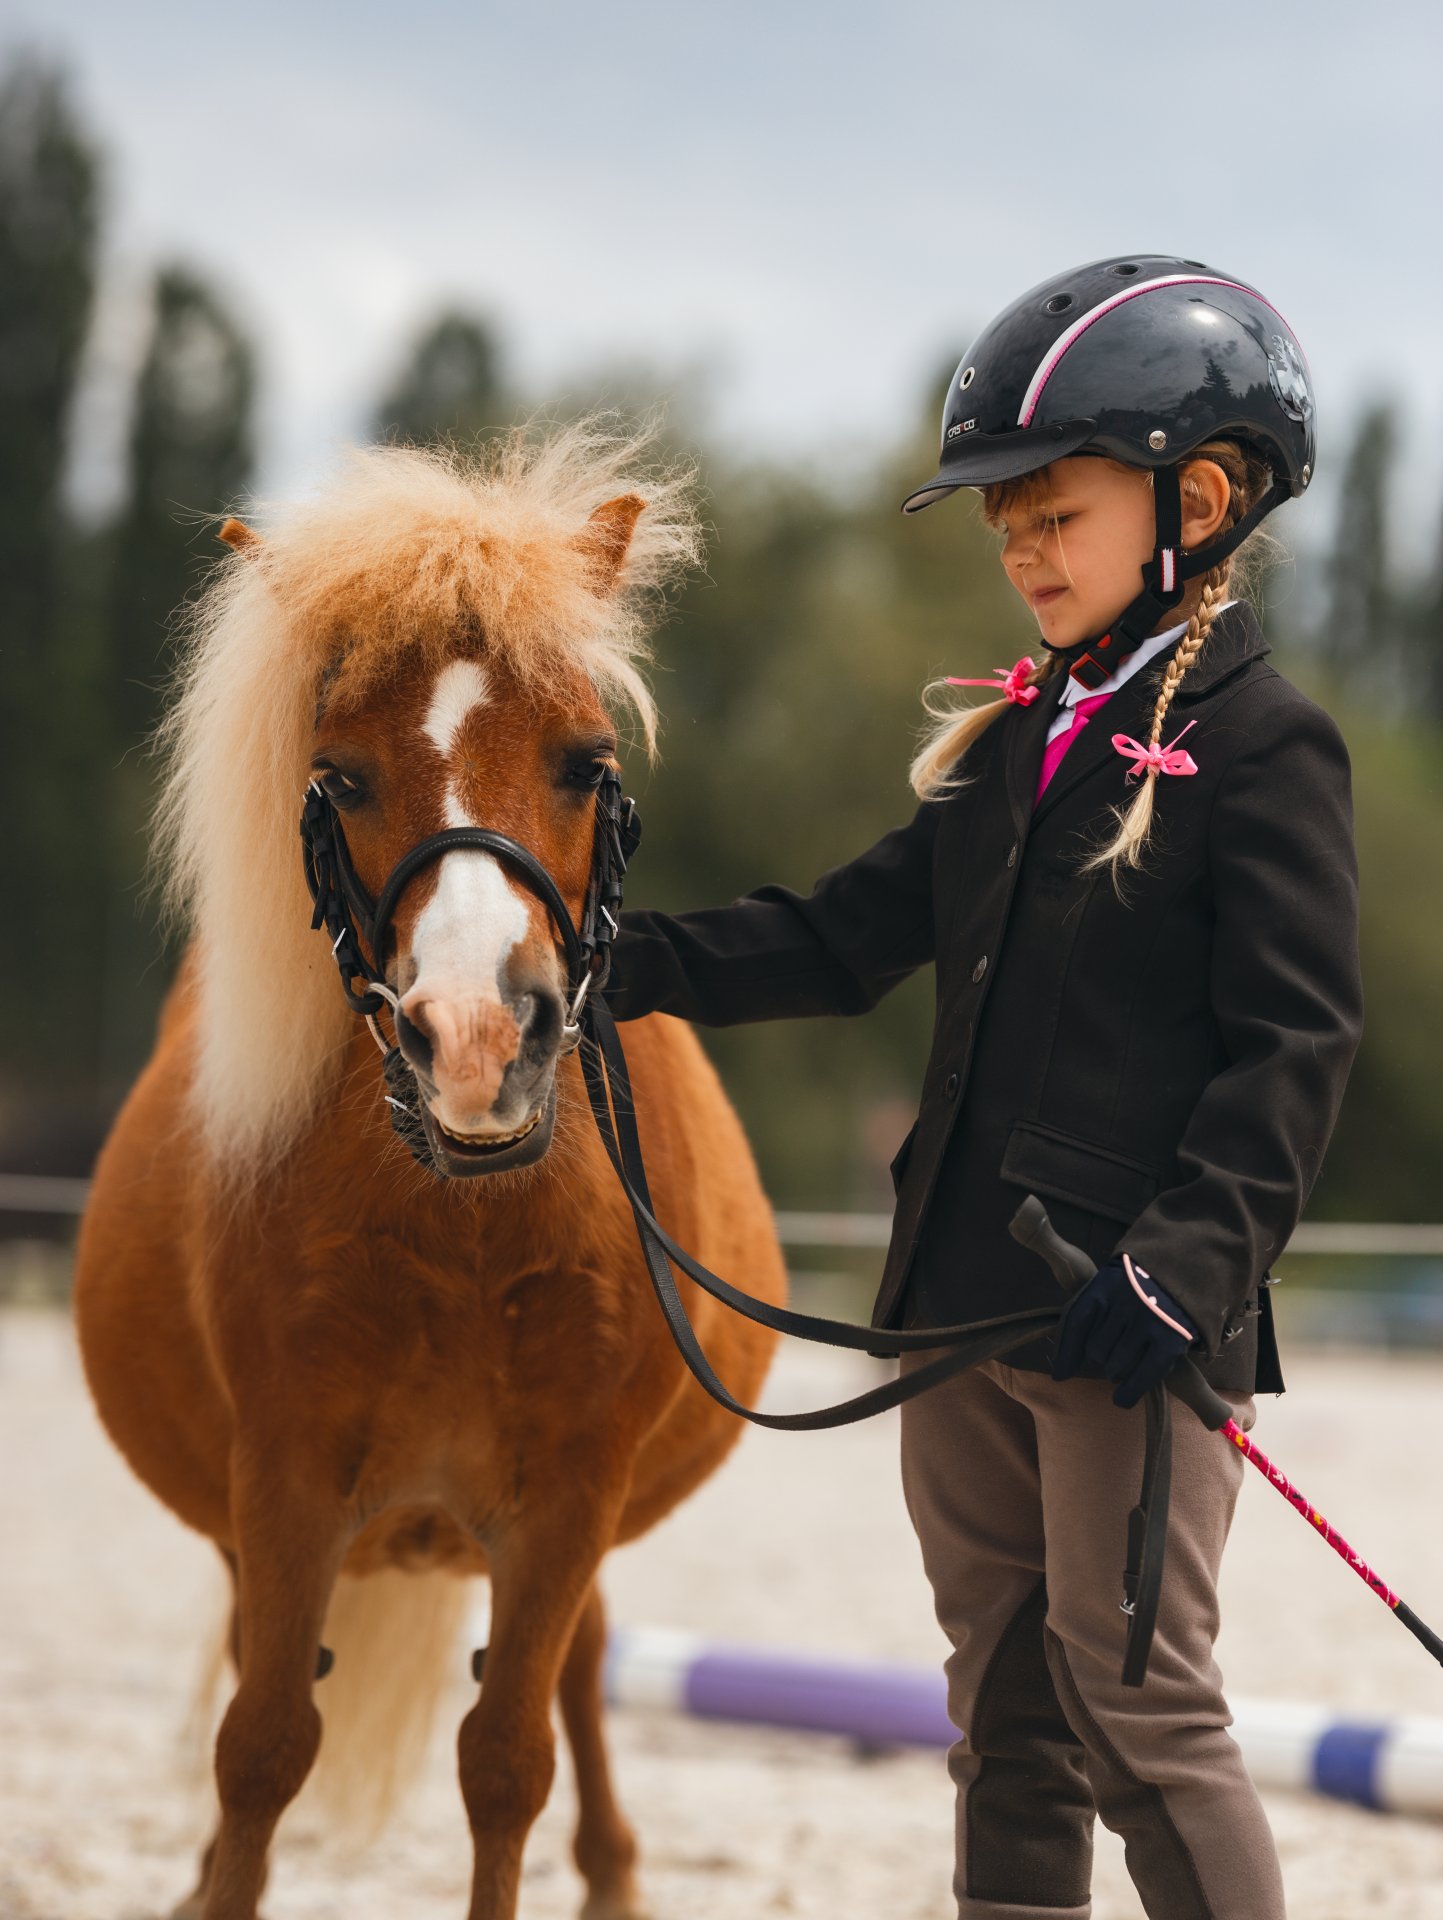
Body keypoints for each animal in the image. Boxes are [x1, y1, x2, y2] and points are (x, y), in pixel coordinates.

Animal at [71, 428, 782, 1920]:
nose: (474, 1040)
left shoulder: (569, 1498)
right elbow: (261, 1748)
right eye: (338, 776)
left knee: (582, 1671)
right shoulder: (284, 1480)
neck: (463, 1221)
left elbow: (508, 1762)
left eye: (586, 761)